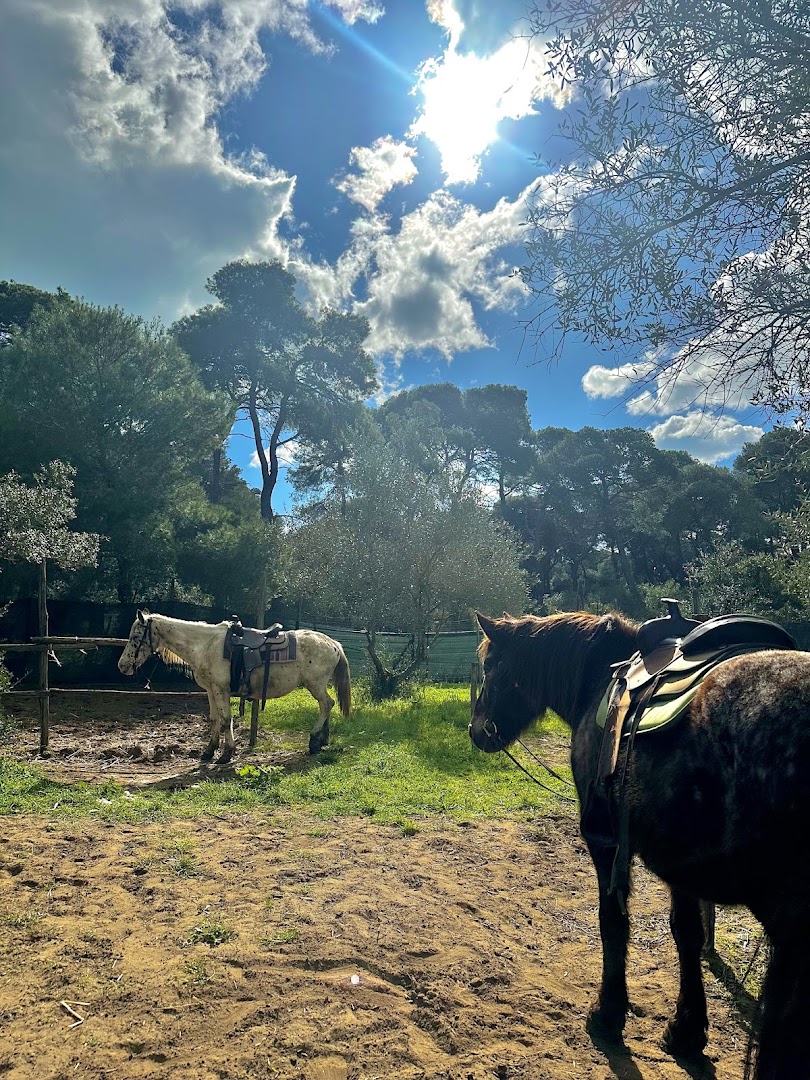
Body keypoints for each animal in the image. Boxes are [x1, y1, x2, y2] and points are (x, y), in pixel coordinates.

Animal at [118, 610, 351, 763]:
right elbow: (214, 719)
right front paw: (209, 751)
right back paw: (322, 740)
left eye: (136, 636)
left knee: (327, 704)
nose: (122, 666)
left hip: (316, 685)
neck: (206, 646)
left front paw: (226, 753)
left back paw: (314, 741)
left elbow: (225, 719)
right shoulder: (210, 690)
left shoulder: (221, 689)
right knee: (326, 705)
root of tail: (333, 644)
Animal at [469, 609, 810, 1080]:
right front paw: (686, 1031)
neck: (599, 678)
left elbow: (612, 919)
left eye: (489, 666)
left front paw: (608, 1014)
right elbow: (687, 933)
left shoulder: (605, 840)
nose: (476, 730)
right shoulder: (683, 865)